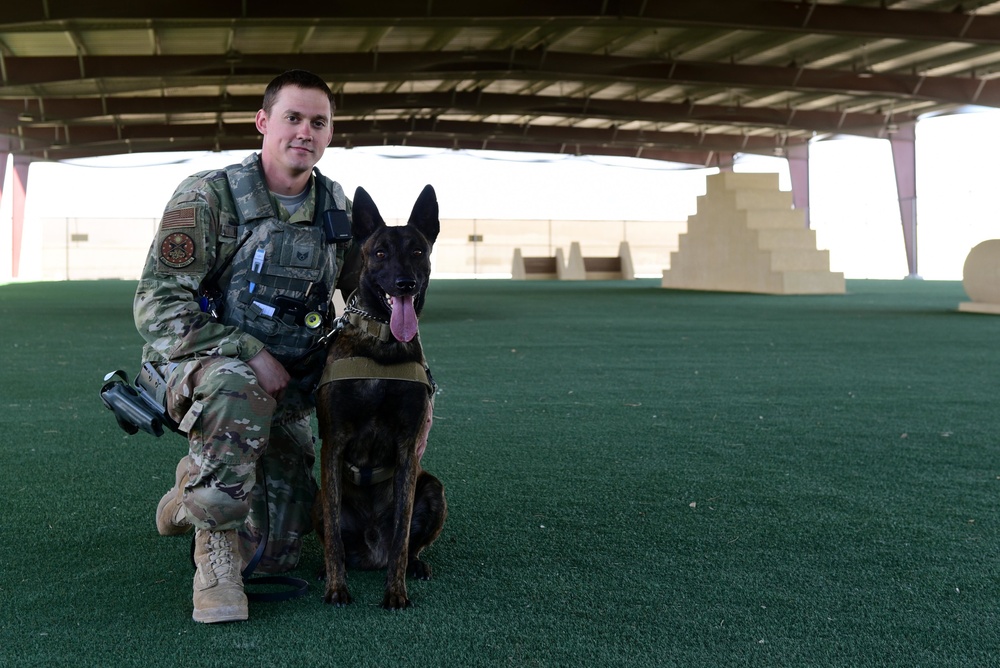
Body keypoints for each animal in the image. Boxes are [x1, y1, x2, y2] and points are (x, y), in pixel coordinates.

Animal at [316, 183, 450, 612]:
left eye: (418, 251)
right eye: (379, 253)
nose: (405, 283)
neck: (383, 346)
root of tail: (371, 553)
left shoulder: (409, 447)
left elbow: (402, 534)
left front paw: (396, 591)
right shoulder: (334, 443)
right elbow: (334, 538)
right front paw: (337, 587)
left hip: (433, 488)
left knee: (407, 544)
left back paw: (414, 566)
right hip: (319, 497)